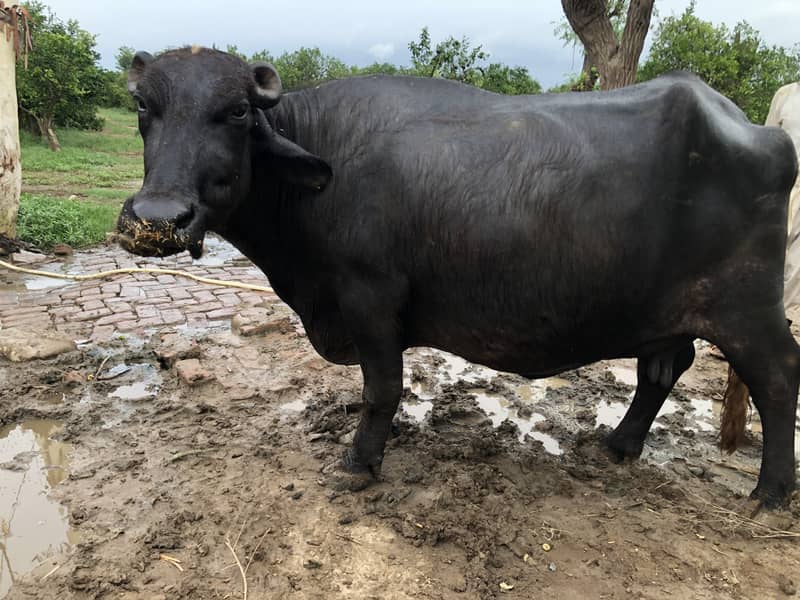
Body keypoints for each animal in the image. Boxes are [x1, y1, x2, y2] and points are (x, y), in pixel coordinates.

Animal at [117, 47, 799, 508]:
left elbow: (382, 388)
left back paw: (770, 492)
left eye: (234, 112)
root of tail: (760, 131)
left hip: (746, 305)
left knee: (776, 374)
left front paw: (359, 462)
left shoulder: (371, 299)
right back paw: (619, 444)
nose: (158, 217)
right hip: (666, 309)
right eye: (144, 107)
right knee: (665, 367)